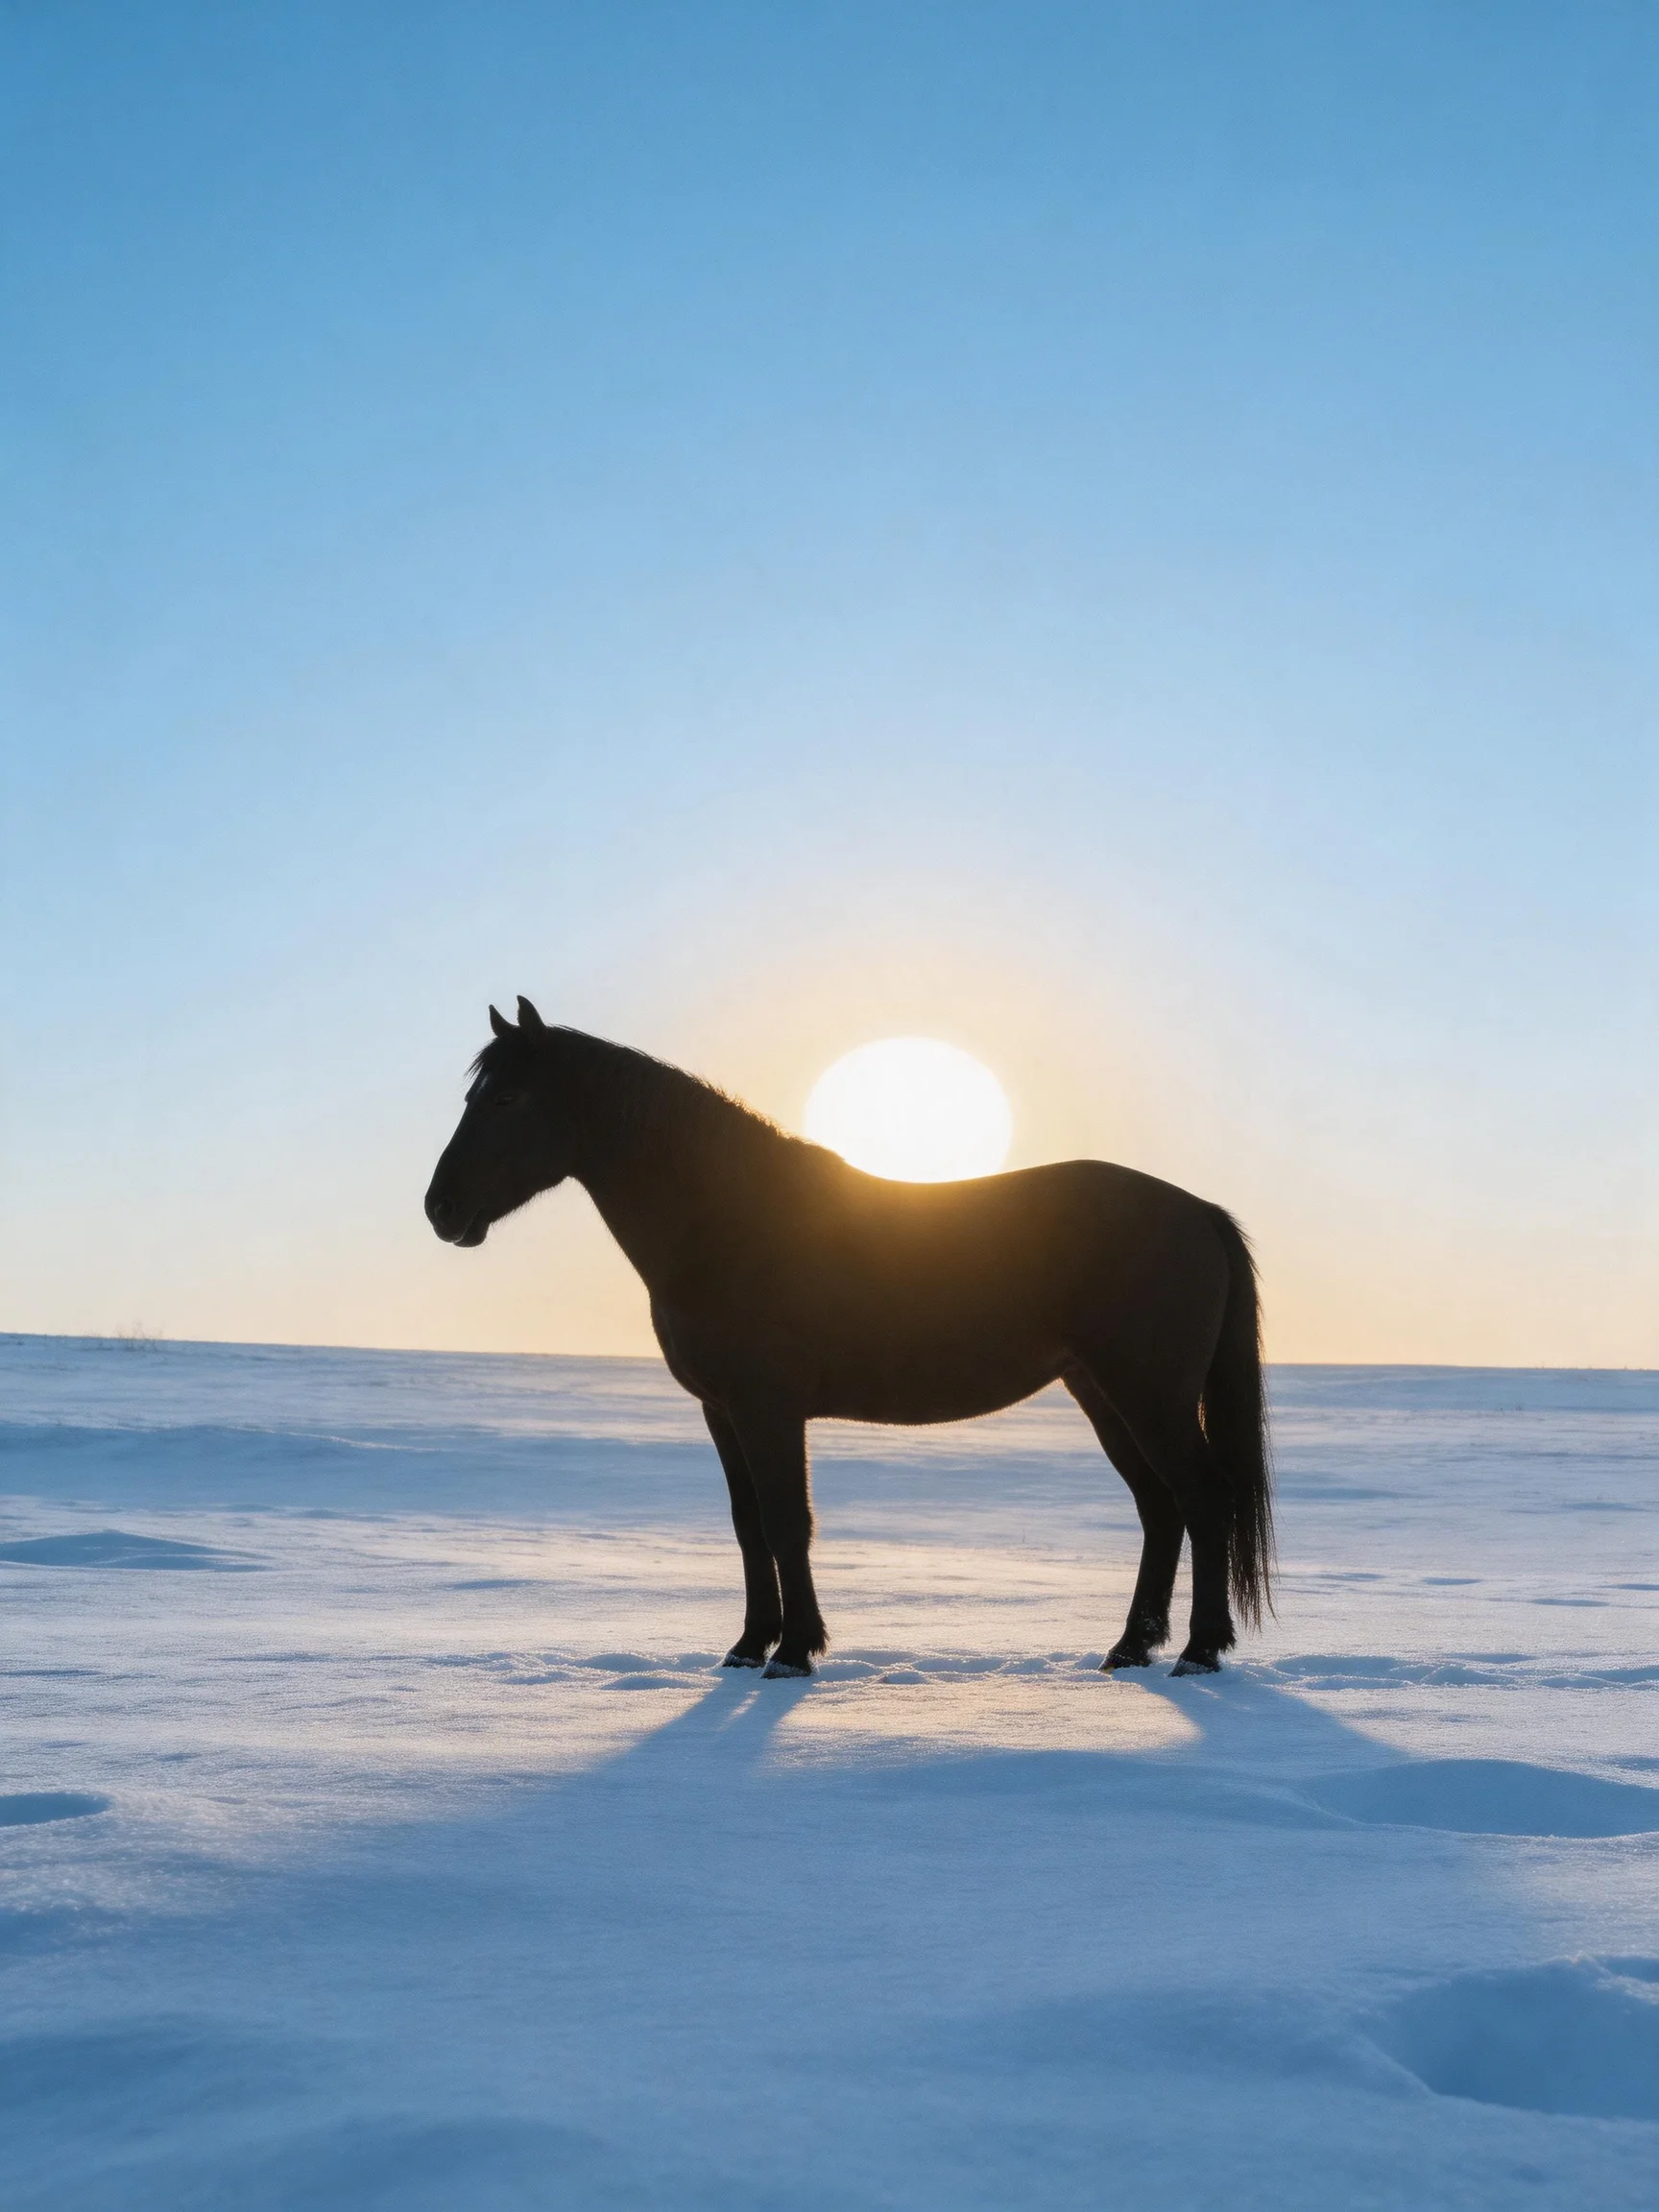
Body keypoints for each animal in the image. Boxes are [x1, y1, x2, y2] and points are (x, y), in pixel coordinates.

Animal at [425, 998, 1273, 1678]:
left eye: (508, 1096)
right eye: (474, 1094)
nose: (441, 1207)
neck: (727, 1220)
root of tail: (1197, 1212)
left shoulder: (767, 1408)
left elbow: (785, 1522)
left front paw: (794, 1652)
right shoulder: (721, 1411)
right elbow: (747, 1526)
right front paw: (748, 1647)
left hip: (1148, 1396)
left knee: (1204, 1499)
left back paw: (1199, 1653)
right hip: (1102, 1393)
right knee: (1162, 1508)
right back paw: (1130, 1648)